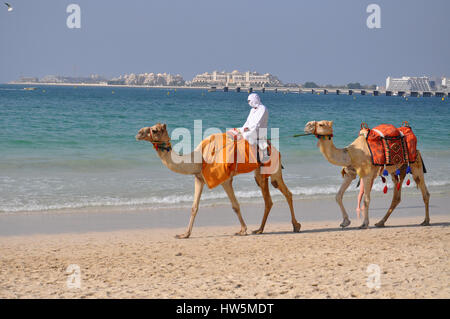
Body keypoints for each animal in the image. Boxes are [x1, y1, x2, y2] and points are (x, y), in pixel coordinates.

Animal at [135, 124, 300, 239]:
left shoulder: (225, 180)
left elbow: (235, 205)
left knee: (283, 194)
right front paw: (184, 234)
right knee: (271, 198)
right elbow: (194, 207)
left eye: (154, 130)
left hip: (273, 170)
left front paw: (243, 230)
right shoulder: (199, 178)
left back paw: (294, 226)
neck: (199, 158)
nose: (138, 133)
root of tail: (276, 149)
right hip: (260, 174)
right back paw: (262, 229)